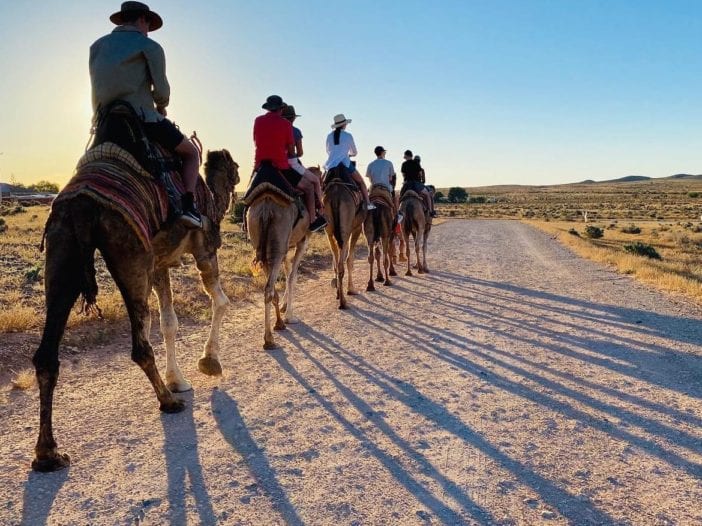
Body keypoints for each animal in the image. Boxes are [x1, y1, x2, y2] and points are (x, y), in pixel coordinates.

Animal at [31, 148, 241, 474]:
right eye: (235, 167)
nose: (240, 178)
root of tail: (82, 206)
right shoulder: (204, 249)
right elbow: (220, 301)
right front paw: (208, 363)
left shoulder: (160, 263)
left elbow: (169, 322)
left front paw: (177, 379)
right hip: (130, 253)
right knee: (140, 344)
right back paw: (168, 402)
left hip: (60, 243)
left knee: (47, 355)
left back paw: (48, 454)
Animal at [248, 167, 314, 352]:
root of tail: (266, 206)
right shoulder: (302, 241)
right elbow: (292, 276)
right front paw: (290, 316)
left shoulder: (287, 246)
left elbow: (287, 272)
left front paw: (284, 309)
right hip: (278, 244)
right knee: (269, 287)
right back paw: (269, 339)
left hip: (262, 244)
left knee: (269, 286)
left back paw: (277, 325)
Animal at [324, 168, 368, 310]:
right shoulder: (356, 228)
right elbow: (350, 259)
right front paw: (351, 289)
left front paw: (338, 289)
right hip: (346, 227)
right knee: (341, 264)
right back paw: (343, 302)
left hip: (329, 230)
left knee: (337, 263)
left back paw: (339, 295)